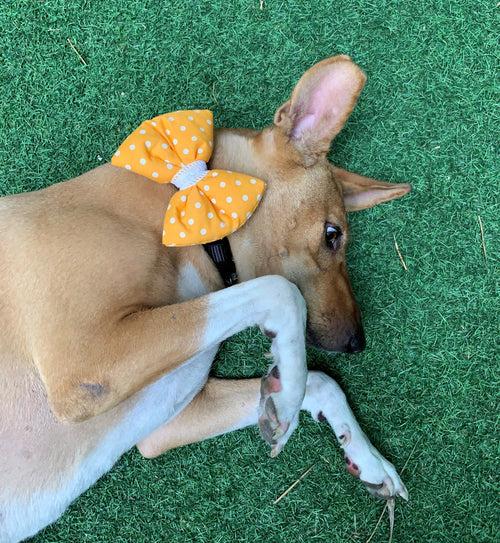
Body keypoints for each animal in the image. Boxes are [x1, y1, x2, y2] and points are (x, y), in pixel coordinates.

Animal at [0, 55, 410, 540]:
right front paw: (289, 392)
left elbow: (324, 382)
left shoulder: (161, 424)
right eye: (333, 235)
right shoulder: (83, 364)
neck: (175, 202)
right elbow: (281, 292)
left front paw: (365, 456)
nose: (357, 343)